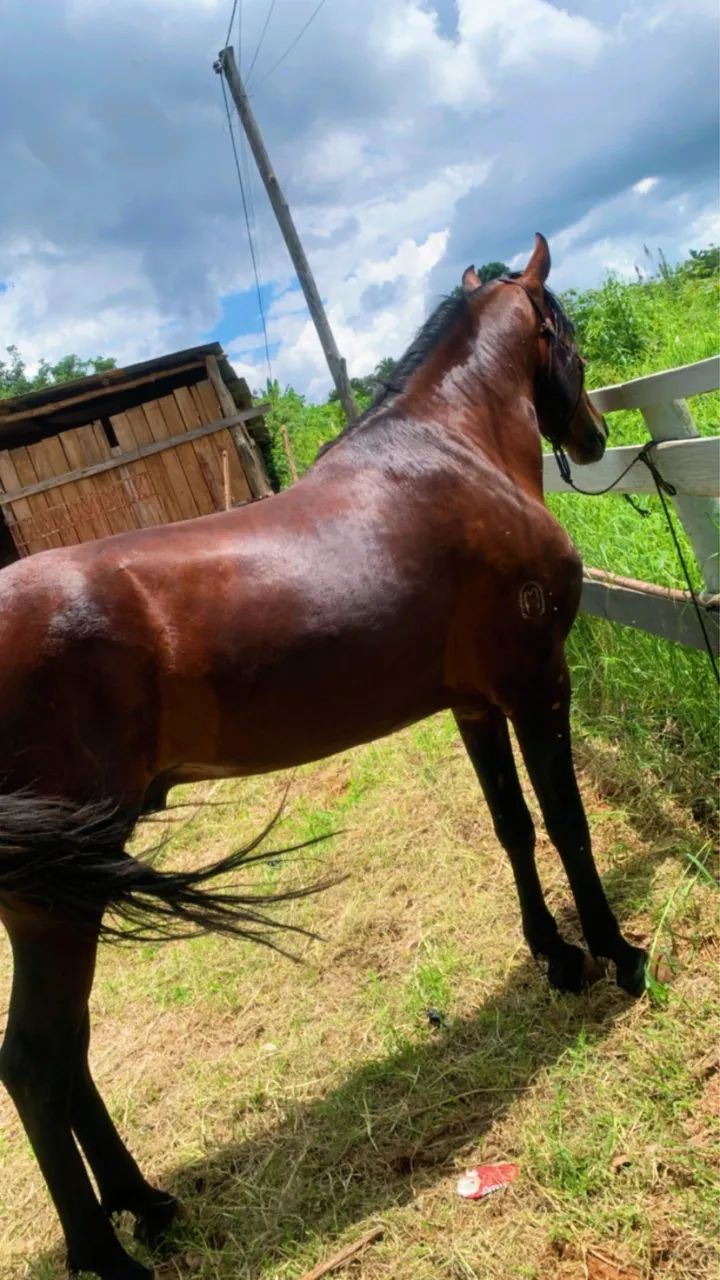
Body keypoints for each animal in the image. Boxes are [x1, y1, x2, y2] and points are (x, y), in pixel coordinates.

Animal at [0, 234, 647, 1279]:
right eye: (567, 330)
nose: (590, 438)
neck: (450, 451)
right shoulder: (536, 686)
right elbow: (567, 823)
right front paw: (617, 955)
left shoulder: (474, 705)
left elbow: (511, 827)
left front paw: (554, 956)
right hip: (59, 898)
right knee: (35, 1062)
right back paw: (112, 1252)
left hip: (56, 894)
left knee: (69, 1054)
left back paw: (151, 1203)